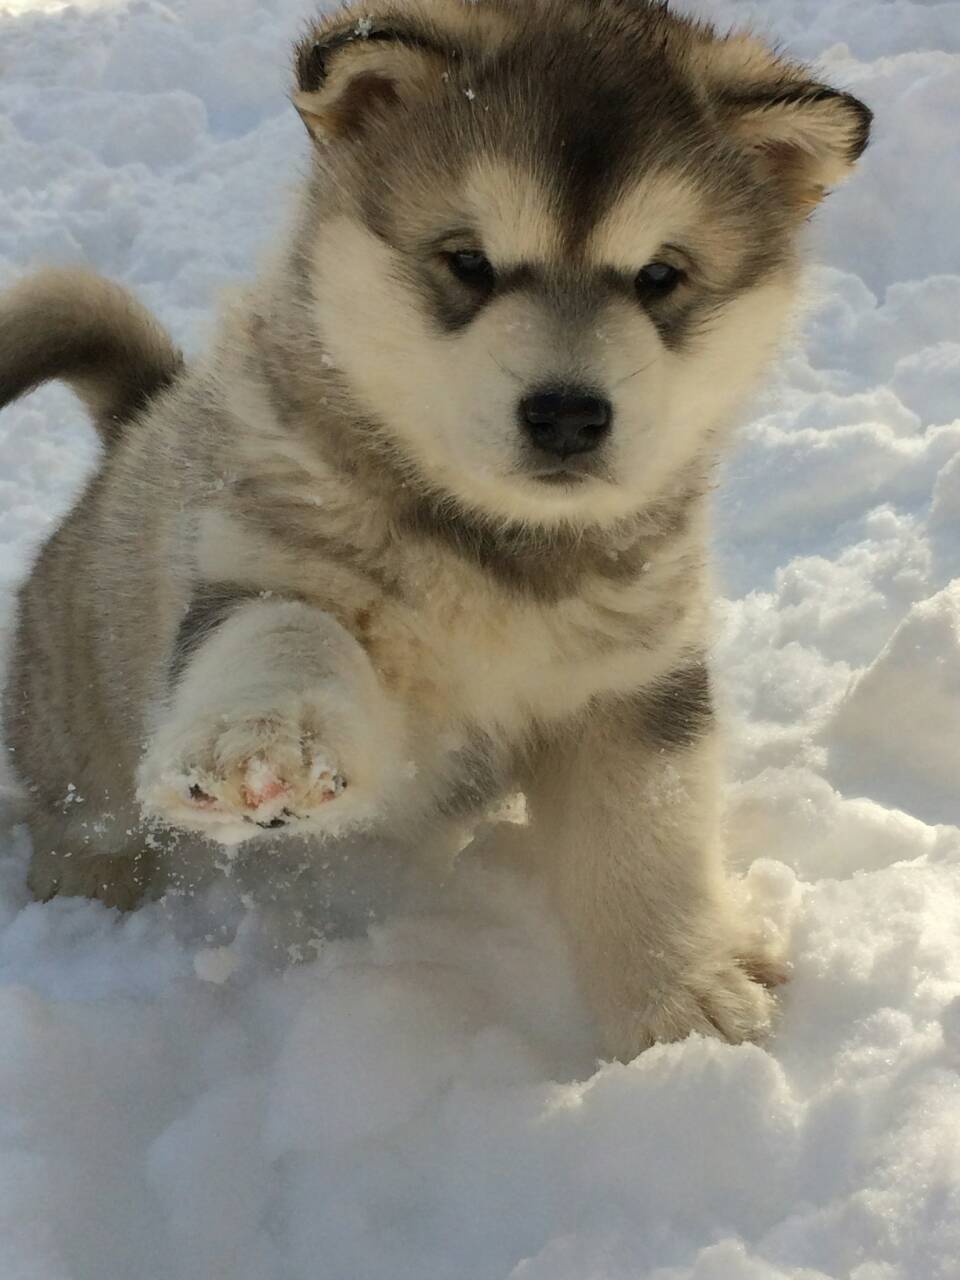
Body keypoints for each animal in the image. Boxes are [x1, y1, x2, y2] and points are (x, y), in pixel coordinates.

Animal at [0, 0, 870, 1059]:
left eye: (660, 276)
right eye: (468, 262)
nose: (569, 414)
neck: (496, 542)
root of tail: (138, 419)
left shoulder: (637, 675)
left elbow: (646, 833)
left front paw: (682, 1004)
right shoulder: (257, 564)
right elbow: (287, 635)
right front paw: (264, 743)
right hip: (77, 740)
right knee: (83, 821)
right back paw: (91, 895)